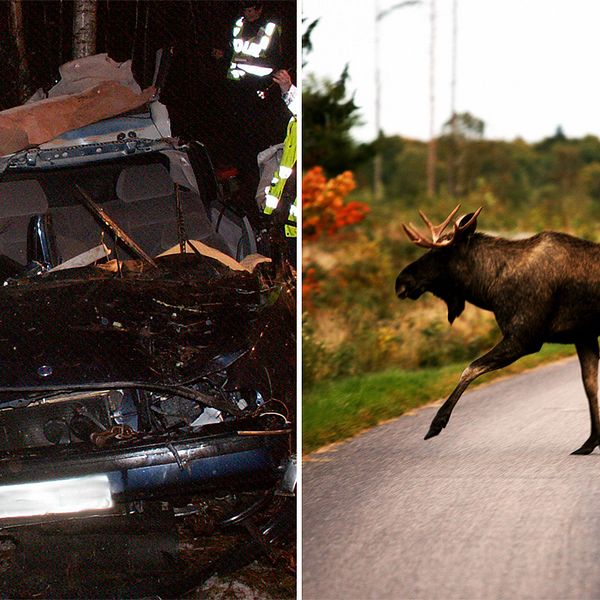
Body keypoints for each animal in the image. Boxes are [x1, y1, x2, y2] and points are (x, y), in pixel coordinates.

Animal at [396, 206, 600, 454]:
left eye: (440, 254)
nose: (401, 281)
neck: (488, 290)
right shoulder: (583, 335)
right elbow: (590, 385)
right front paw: (590, 442)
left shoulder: (524, 338)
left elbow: (470, 368)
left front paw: (436, 423)